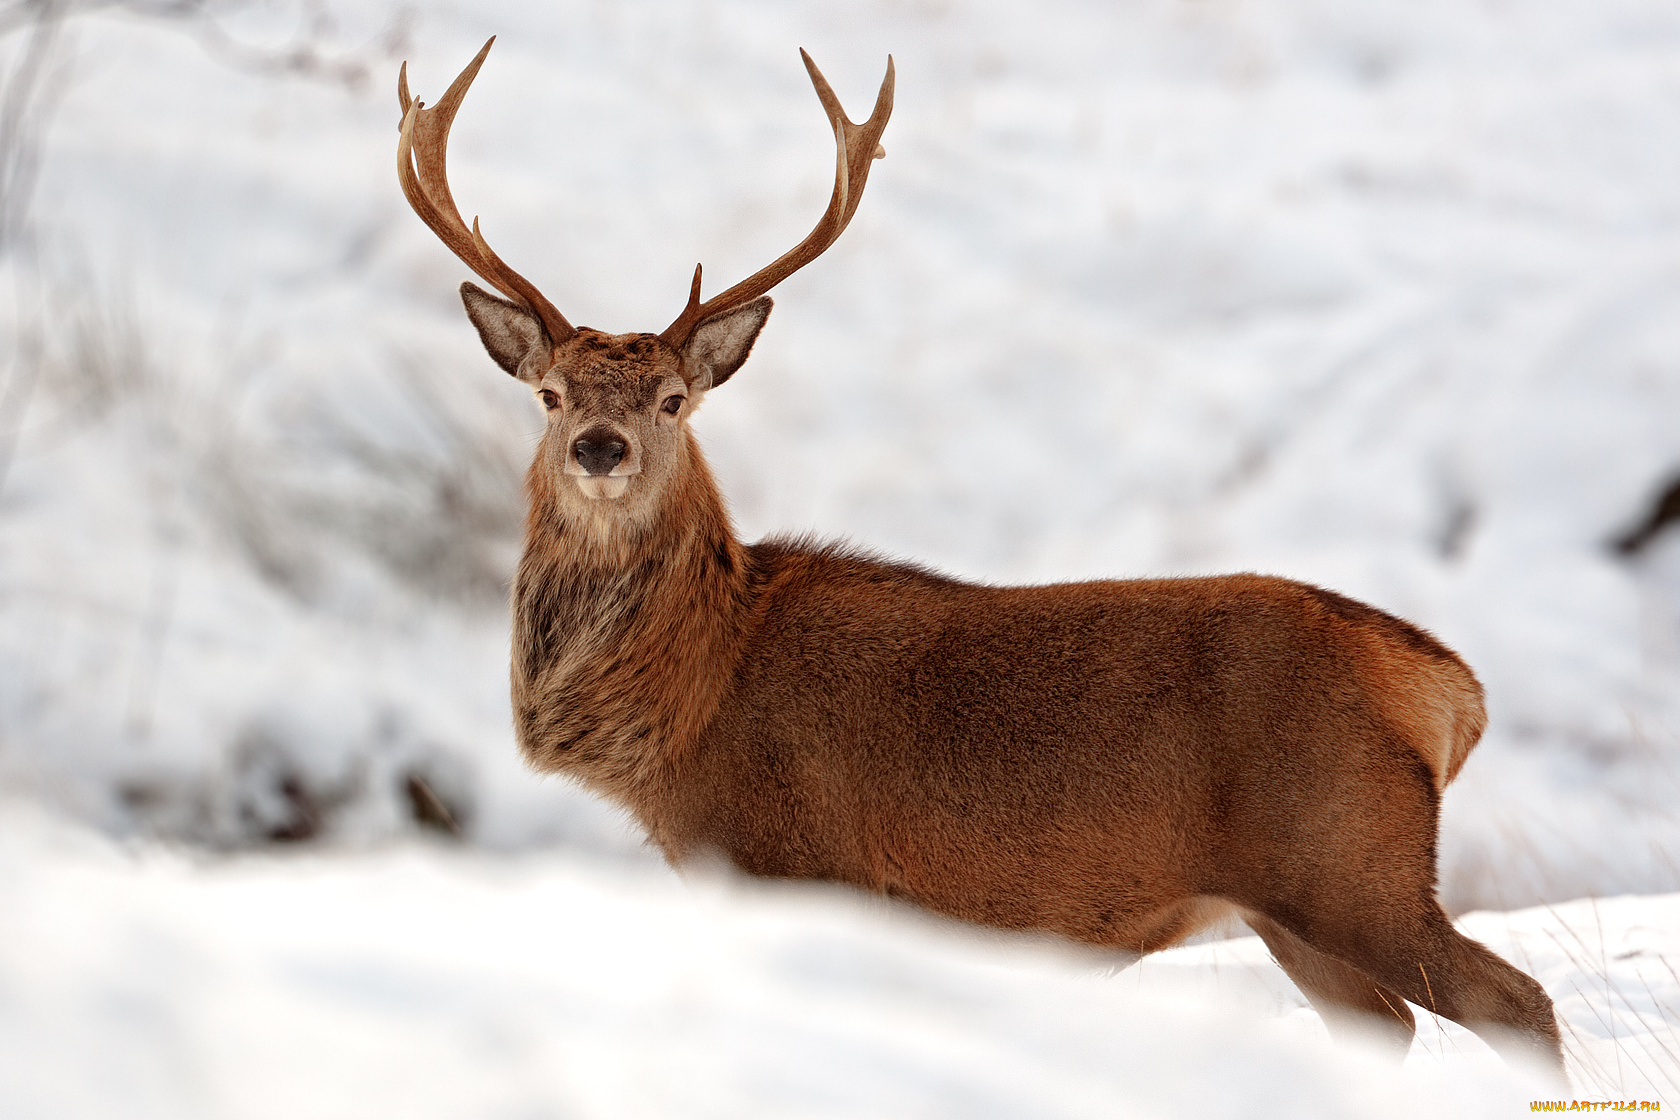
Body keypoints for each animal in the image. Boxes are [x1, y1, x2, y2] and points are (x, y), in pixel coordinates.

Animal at [393, 37, 1559, 1074]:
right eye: (551, 394)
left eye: (674, 399)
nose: (601, 446)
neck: (690, 702)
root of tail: (1447, 688)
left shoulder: (803, 865)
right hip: (1297, 903)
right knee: (1387, 1029)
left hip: (1353, 866)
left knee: (1518, 1003)